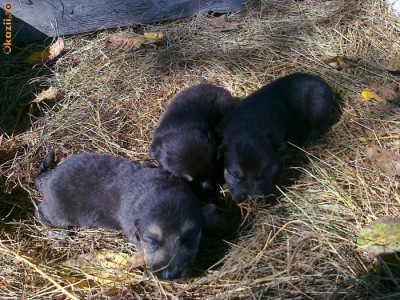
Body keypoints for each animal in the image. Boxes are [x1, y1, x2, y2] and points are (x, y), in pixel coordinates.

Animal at [34, 152, 216, 282]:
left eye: (189, 238)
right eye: (152, 241)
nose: (171, 276)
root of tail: (47, 179)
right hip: (58, 213)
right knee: (41, 213)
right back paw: (59, 233)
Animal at [217, 72, 332, 202]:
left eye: (263, 175)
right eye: (235, 176)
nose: (251, 199)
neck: (248, 126)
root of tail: (321, 81)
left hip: (319, 106)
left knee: (322, 123)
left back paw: (309, 138)